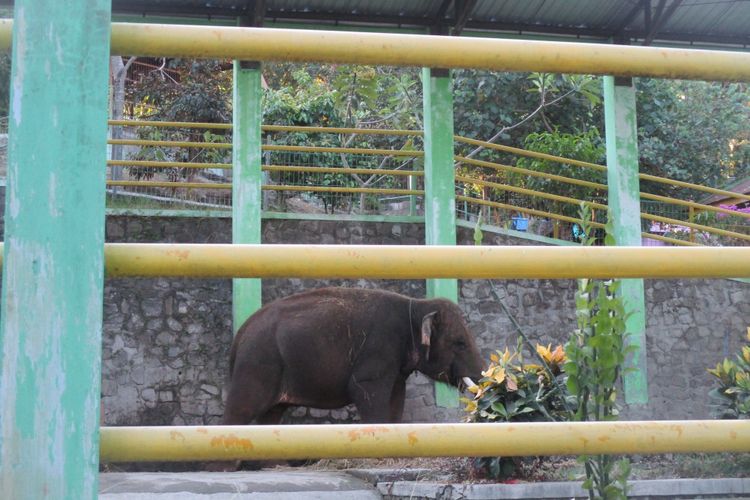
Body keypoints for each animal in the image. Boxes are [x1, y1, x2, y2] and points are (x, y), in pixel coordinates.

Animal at [220, 288, 484, 428]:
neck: (417, 305)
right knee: (239, 412)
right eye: (460, 343)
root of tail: (239, 336)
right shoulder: (378, 350)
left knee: (270, 416)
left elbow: (396, 399)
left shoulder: (396, 367)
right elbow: (365, 392)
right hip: (257, 364)